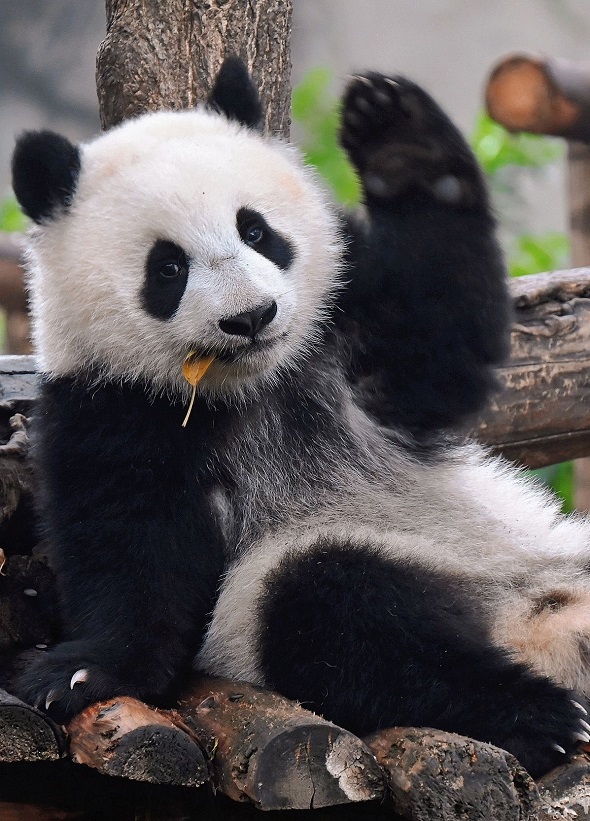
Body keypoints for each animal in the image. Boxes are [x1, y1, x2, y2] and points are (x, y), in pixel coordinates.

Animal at [10, 57, 590, 778]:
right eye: (167, 267)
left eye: (255, 230)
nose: (252, 316)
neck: (255, 385)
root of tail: (538, 630)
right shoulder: (114, 406)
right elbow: (131, 544)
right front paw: (85, 671)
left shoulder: (351, 333)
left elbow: (443, 342)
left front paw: (398, 138)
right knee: (336, 611)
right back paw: (540, 716)